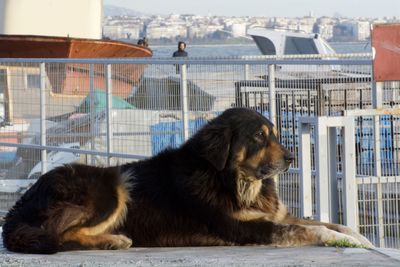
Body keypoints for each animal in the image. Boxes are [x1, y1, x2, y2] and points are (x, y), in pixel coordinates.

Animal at [1, 108, 374, 254]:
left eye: (275, 135)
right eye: (258, 136)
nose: (292, 158)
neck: (231, 180)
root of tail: (18, 207)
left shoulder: (273, 215)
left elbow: (329, 222)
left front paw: (359, 237)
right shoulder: (247, 228)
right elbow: (315, 229)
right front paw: (345, 241)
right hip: (113, 186)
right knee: (59, 234)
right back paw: (113, 240)